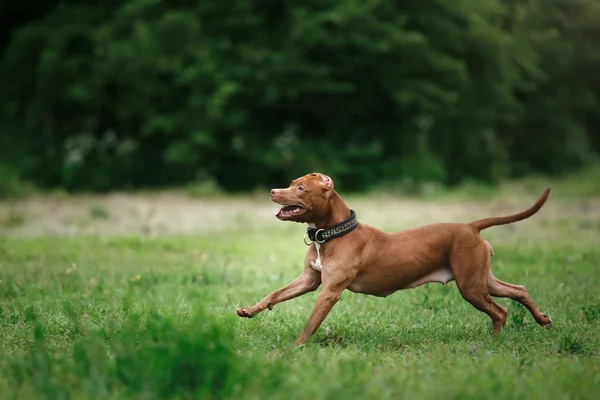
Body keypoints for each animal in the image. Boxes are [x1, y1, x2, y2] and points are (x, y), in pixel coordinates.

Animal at [236, 172, 552, 344]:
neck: (329, 235)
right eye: (291, 183)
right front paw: (249, 310)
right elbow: (274, 294)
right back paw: (542, 320)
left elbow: (311, 323)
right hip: (480, 279)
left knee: (500, 311)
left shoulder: (329, 291)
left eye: (300, 188)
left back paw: (494, 343)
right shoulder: (308, 280)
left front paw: (295, 348)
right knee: (518, 291)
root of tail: (470, 227)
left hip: (471, 286)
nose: (273, 191)